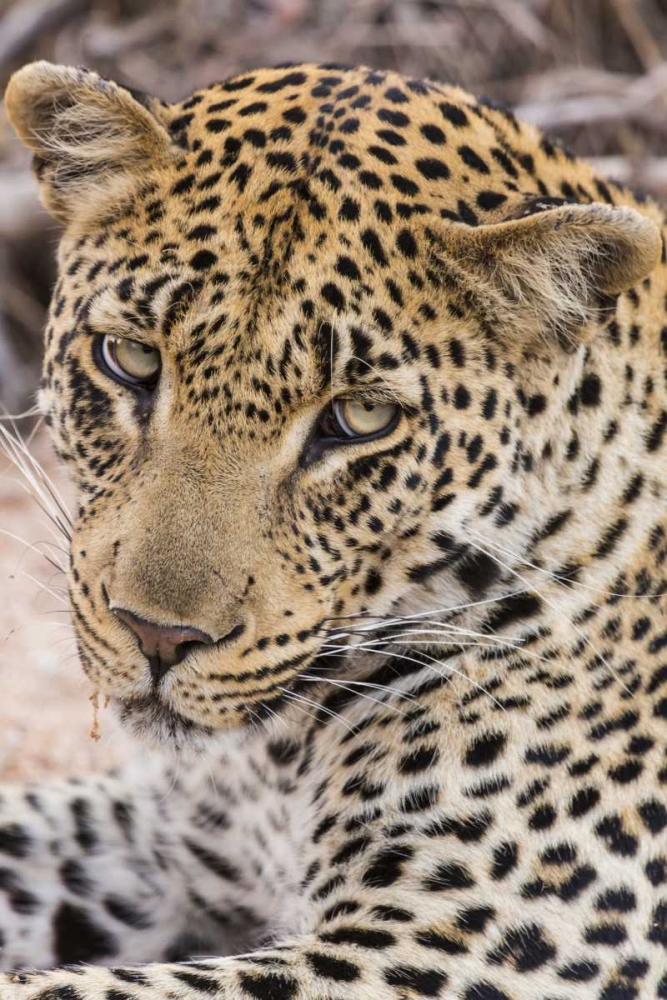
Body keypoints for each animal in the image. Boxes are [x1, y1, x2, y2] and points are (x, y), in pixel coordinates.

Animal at [0, 56, 666, 1000]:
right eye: (129, 359)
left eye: (358, 418)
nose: (156, 637)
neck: (271, 767)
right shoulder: (155, 841)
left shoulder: (469, 942)